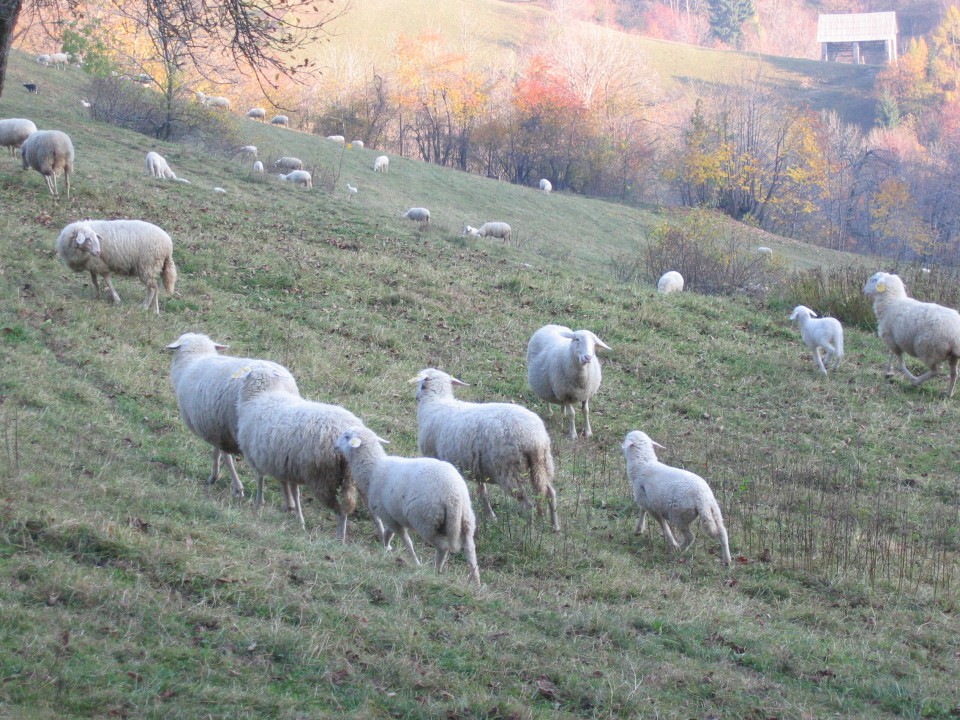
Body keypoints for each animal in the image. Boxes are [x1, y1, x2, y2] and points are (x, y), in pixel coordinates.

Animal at [165, 334, 298, 498]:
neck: (195, 358)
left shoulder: (221, 431)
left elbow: (224, 457)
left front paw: (232, 486)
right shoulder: (216, 427)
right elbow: (217, 453)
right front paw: (216, 477)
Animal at [234, 366, 366, 540]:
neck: (263, 394)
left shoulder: (257, 456)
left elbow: (260, 479)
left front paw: (258, 502)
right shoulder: (284, 463)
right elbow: (291, 488)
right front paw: (294, 512)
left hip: (323, 477)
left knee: (340, 510)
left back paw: (338, 537)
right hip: (350, 477)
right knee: (349, 505)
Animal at [336, 428, 480, 584]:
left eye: (346, 436)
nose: (335, 446)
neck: (374, 469)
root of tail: (454, 496)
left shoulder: (387, 515)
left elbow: (407, 541)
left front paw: (415, 562)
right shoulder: (392, 515)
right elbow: (388, 534)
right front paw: (385, 548)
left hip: (426, 520)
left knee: (443, 547)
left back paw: (435, 571)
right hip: (466, 519)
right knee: (470, 550)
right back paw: (476, 581)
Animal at [408, 372, 560, 528]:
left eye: (420, 384)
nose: (416, 397)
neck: (436, 401)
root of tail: (534, 439)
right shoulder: (477, 468)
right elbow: (482, 492)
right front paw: (491, 516)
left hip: (509, 471)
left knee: (528, 505)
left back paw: (529, 530)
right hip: (542, 465)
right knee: (550, 493)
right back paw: (555, 527)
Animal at [620, 430, 732, 564]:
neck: (643, 464)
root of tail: (702, 498)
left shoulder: (651, 506)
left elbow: (663, 525)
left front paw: (672, 543)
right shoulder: (646, 500)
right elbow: (642, 510)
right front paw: (639, 529)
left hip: (679, 515)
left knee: (690, 537)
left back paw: (678, 550)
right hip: (714, 510)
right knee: (722, 532)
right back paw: (727, 559)